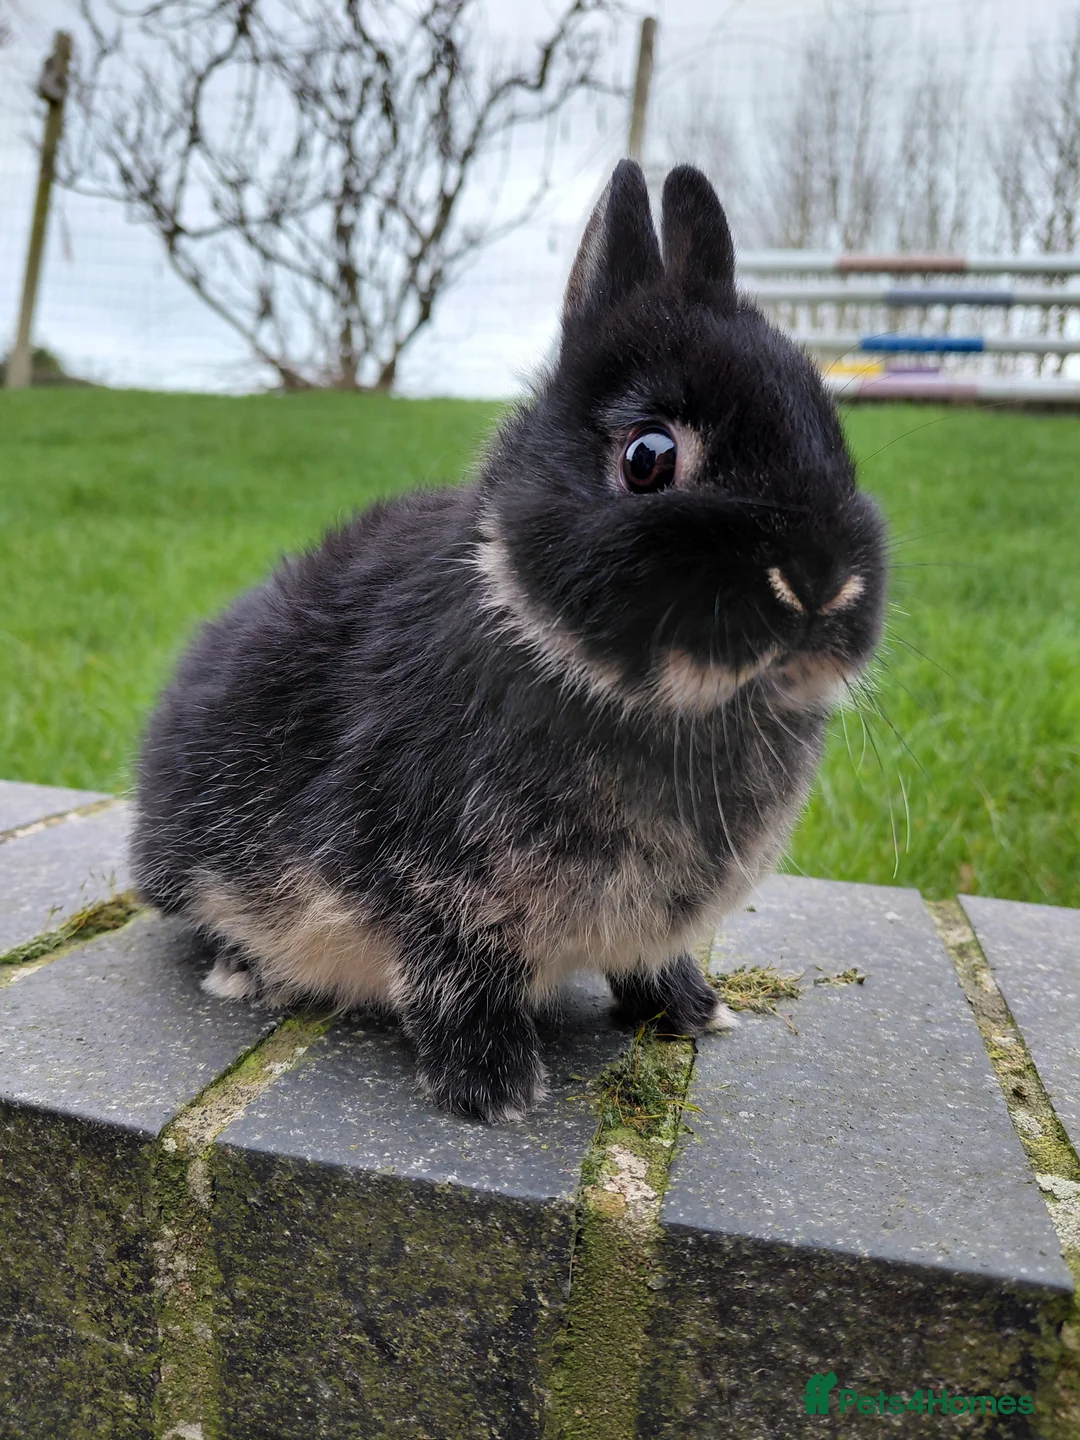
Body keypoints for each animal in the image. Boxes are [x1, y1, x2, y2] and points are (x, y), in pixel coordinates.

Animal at [132, 161, 887, 1123]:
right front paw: (492, 1089)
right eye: (648, 457)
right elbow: (456, 976)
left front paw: (693, 1013)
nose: (821, 581)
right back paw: (244, 973)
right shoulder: (432, 888)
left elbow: (649, 962)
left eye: (832, 434)